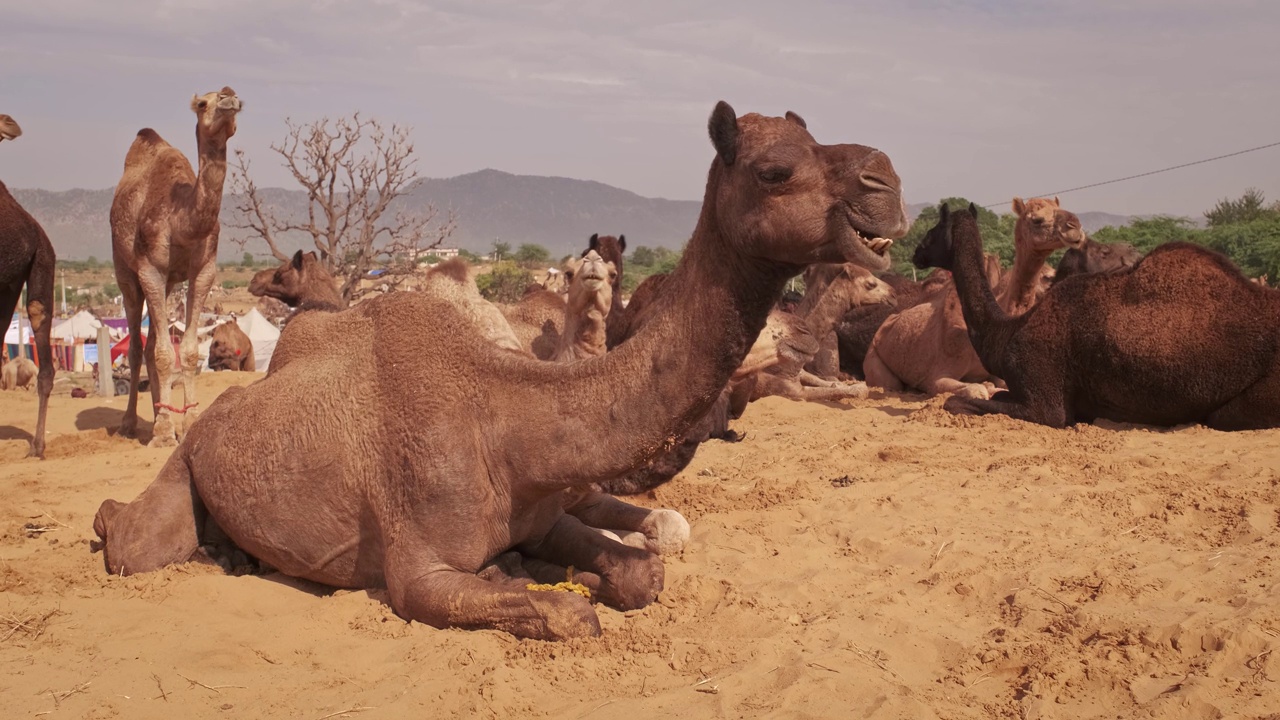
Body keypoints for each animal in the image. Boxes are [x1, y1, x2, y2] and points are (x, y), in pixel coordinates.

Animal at [111, 83, 243, 443]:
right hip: (126, 274)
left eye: (238, 99)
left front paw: (188, 421)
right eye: (202, 104)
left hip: (170, 283)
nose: (228, 97)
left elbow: (188, 351)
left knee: (152, 344)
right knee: (136, 347)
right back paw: (131, 423)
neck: (180, 219)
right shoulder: (150, 270)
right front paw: (162, 433)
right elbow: (160, 353)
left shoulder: (203, 271)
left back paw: (160, 412)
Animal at [860, 197, 1080, 397]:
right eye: (1037, 219)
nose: (1075, 226)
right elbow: (976, 389)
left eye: (931, 232)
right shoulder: (936, 377)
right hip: (874, 360)